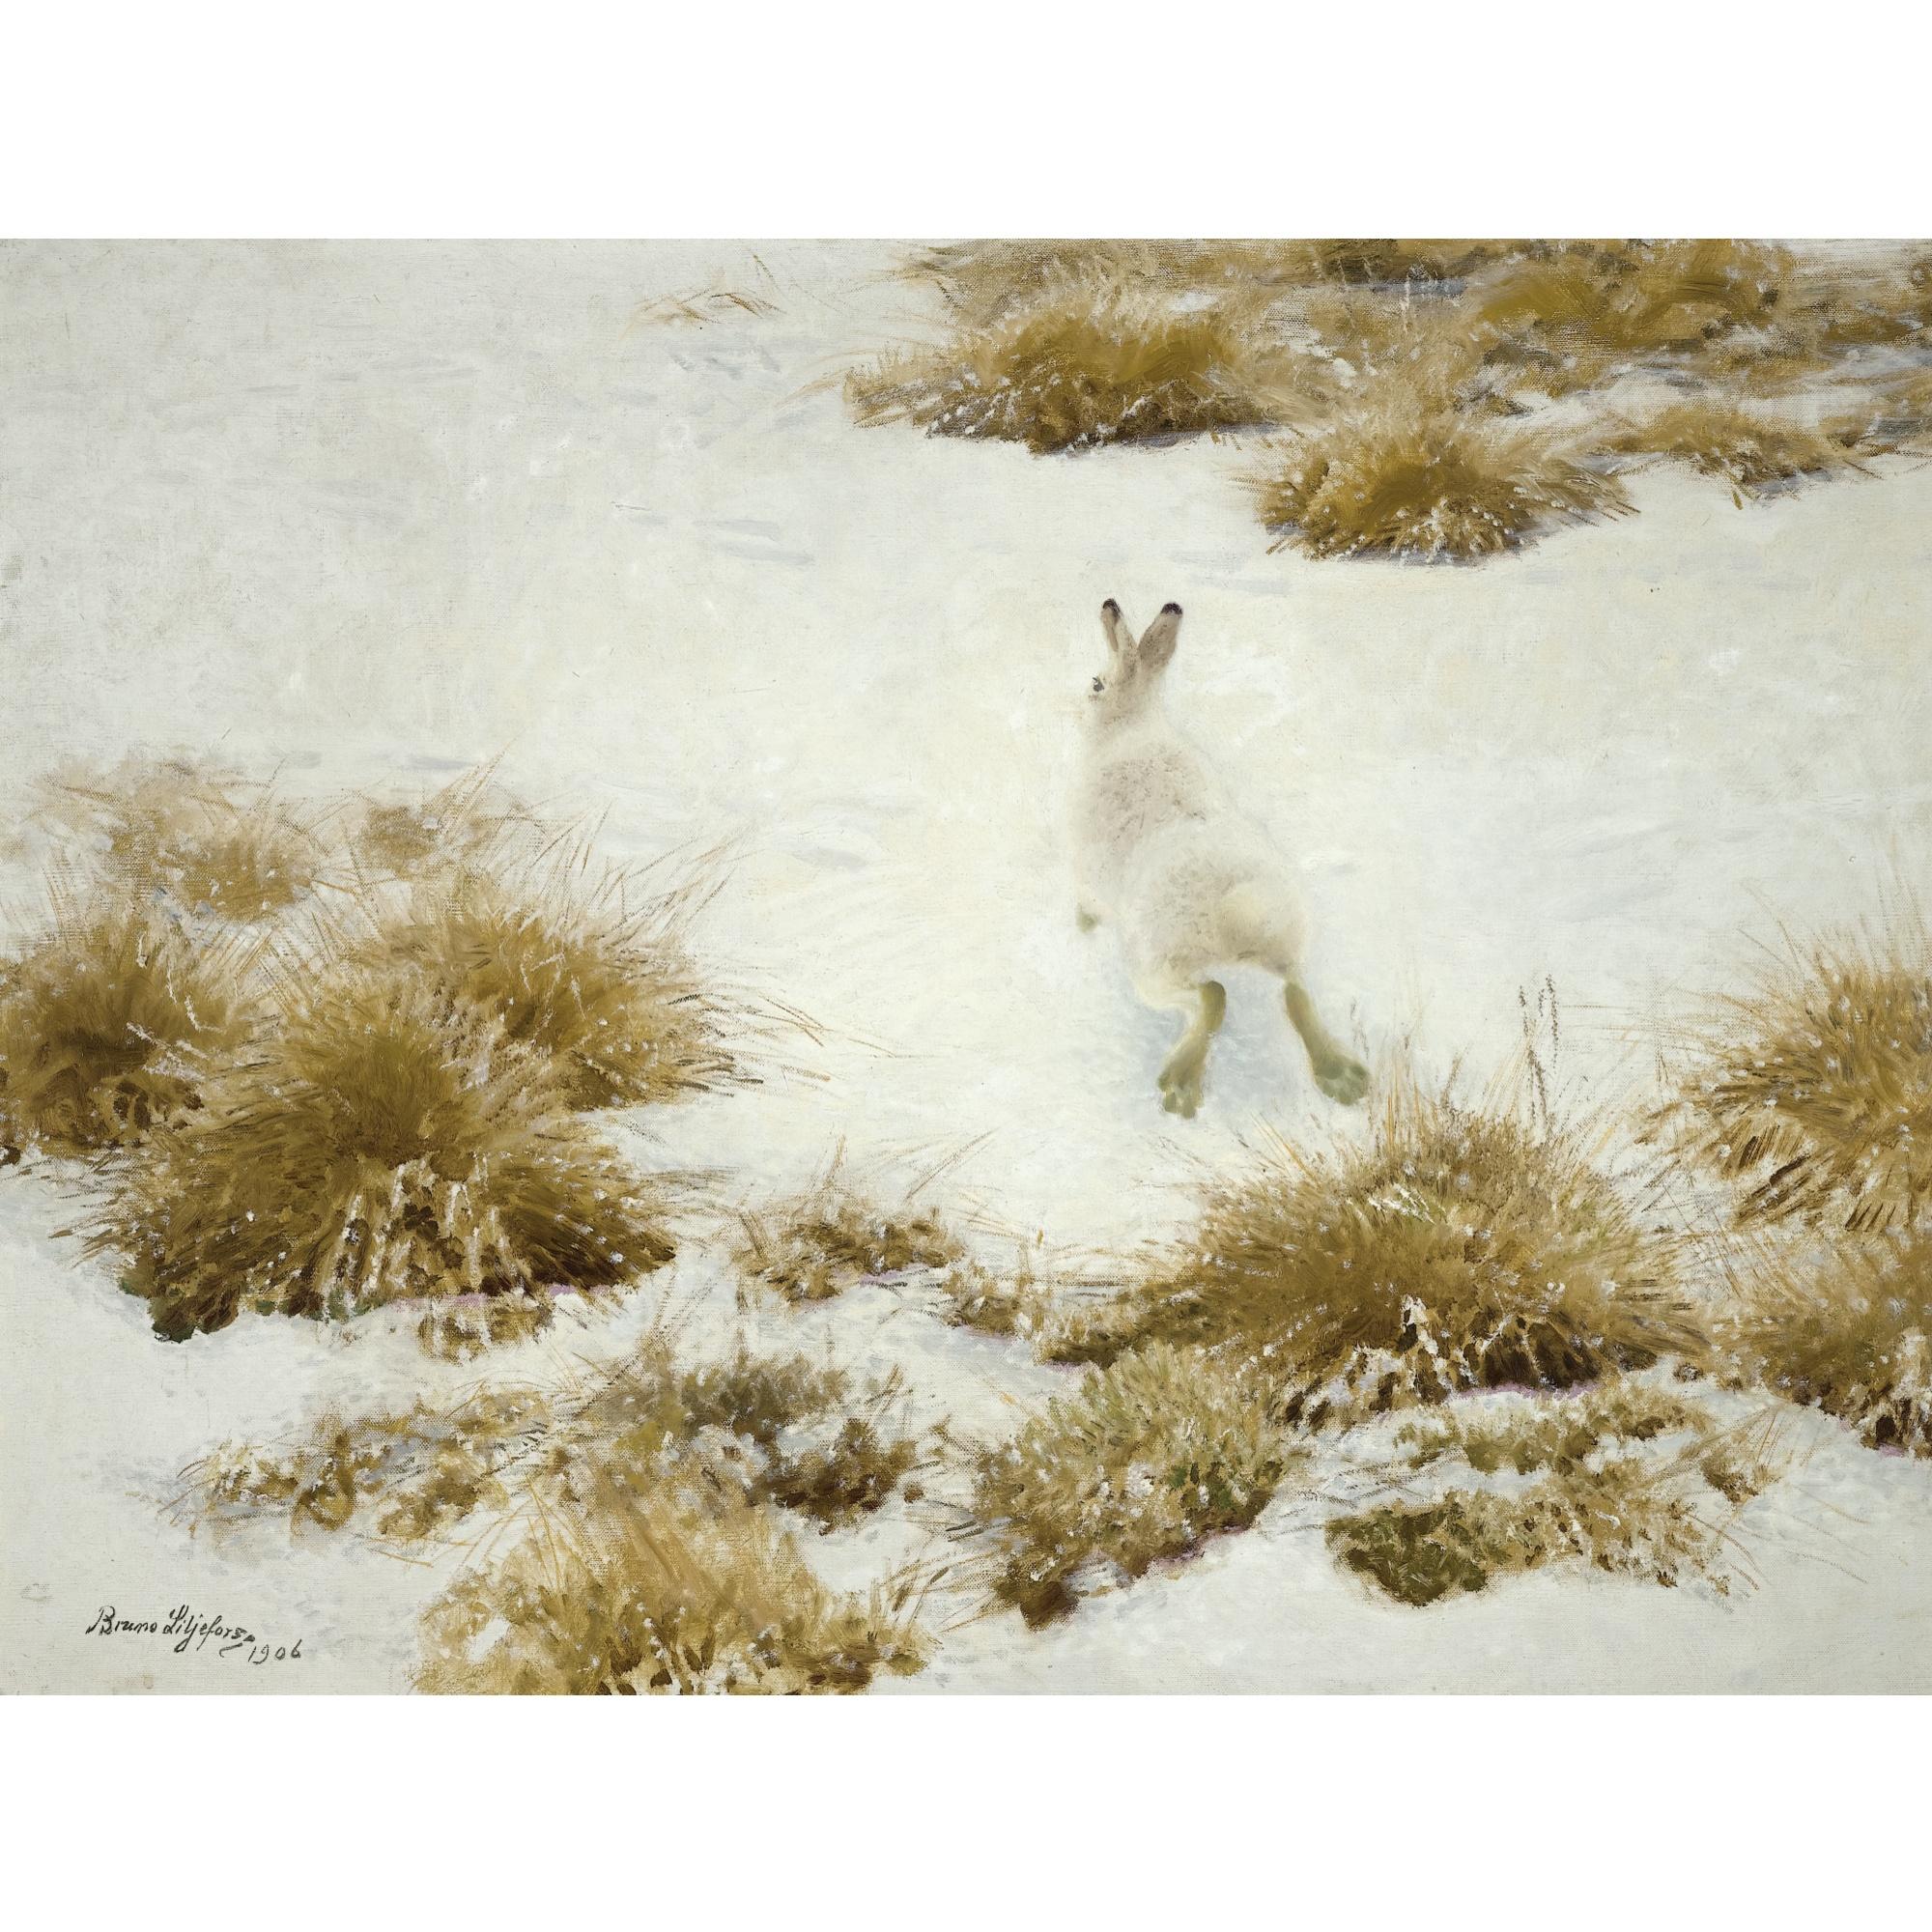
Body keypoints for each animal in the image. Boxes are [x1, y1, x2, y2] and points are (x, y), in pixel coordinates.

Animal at [1074, 597, 1369, 1118]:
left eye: (1096, 684)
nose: (1072, 706)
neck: (1131, 721)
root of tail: (1236, 913)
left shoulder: (1086, 874)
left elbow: (1086, 903)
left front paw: (1080, 929)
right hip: (1281, 944)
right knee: (1294, 991)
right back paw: (1342, 1077)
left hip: (1155, 966)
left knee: (1214, 995)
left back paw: (1180, 1085)